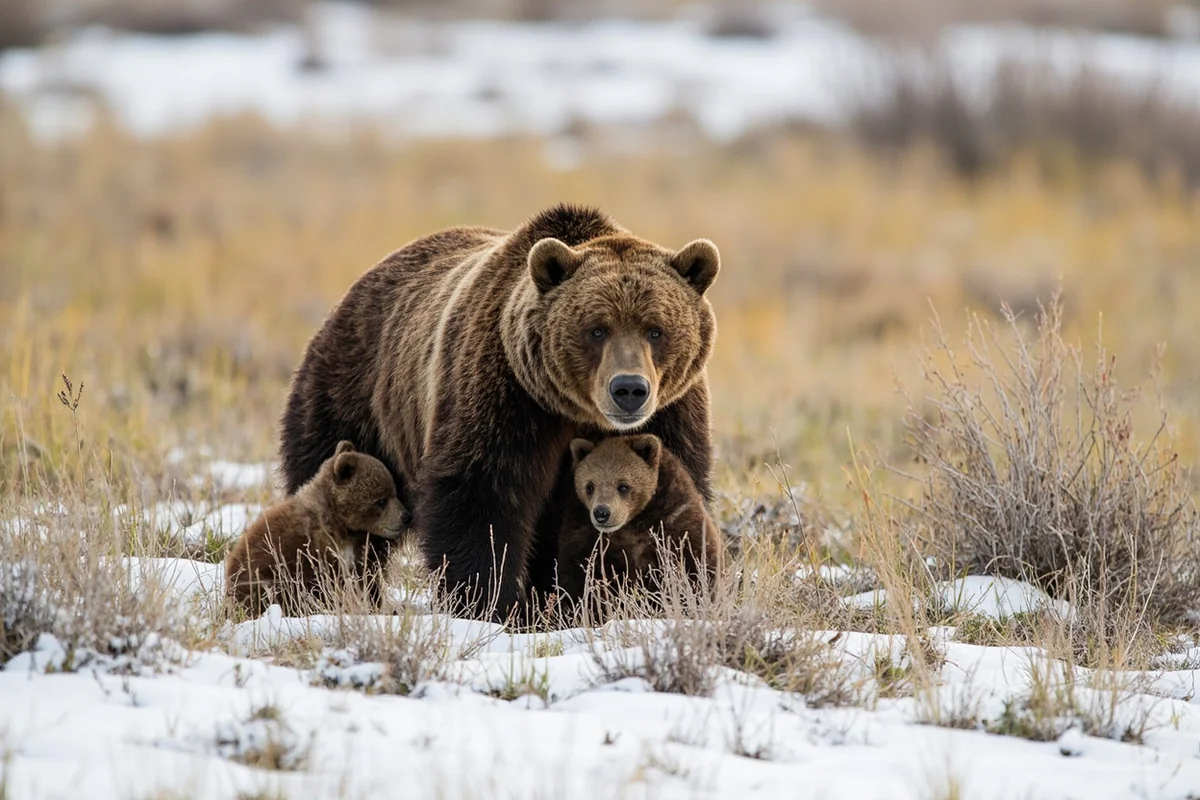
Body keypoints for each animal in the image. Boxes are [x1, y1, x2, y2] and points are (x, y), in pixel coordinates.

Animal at [225, 440, 413, 617]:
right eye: (381, 500)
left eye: (394, 492)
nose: (406, 516)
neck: (338, 522)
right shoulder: (317, 550)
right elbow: (327, 583)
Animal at [554, 434, 723, 611]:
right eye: (590, 486)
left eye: (623, 486)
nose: (602, 513)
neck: (633, 523)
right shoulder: (584, 532)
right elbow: (579, 574)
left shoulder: (675, 517)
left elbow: (697, 558)